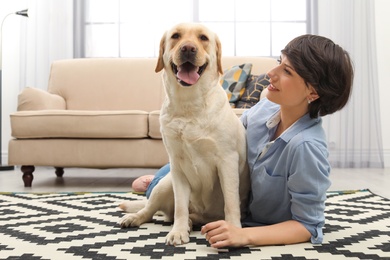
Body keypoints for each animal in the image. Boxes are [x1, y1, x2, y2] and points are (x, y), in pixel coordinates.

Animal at [117, 22, 250, 246]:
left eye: (203, 38)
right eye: (176, 36)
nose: (188, 48)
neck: (189, 105)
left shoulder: (227, 161)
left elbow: (231, 202)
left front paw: (233, 231)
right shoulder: (177, 165)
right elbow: (180, 206)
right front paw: (177, 232)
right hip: (165, 184)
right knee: (151, 210)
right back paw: (139, 218)